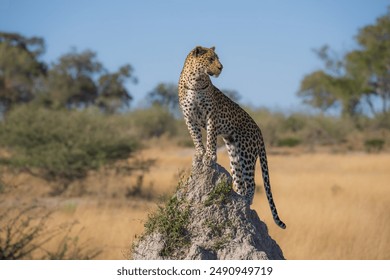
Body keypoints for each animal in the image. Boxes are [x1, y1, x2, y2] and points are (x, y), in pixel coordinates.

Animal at [177, 46, 286, 229]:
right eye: (210, 59)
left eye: (217, 58)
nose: (221, 67)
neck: (195, 82)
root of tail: (259, 131)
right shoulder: (189, 117)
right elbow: (196, 137)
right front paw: (200, 154)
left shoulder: (211, 115)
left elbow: (210, 138)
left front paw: (209, 157)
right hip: (234, 154)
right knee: (240, 182)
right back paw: (240, 199)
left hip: (247, 153)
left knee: (251, 183)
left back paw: (246, 203)